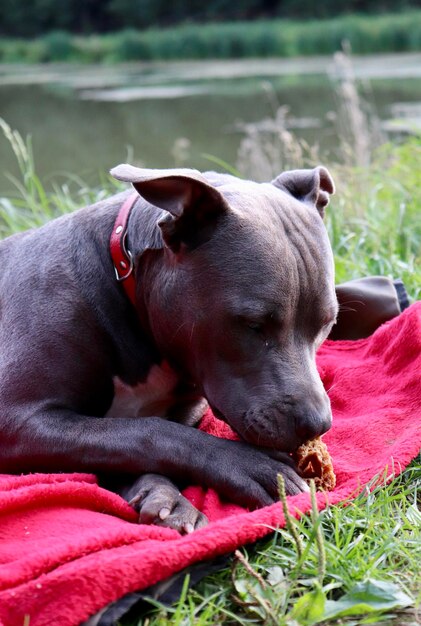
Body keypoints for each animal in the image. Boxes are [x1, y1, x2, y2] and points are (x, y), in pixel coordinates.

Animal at [0, 165, 336, 532]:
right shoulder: (18, 418)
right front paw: (251, 466)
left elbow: (134, 438)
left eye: (327, 323)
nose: (317, 424)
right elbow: (149, 432)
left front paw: (162, 495)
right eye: (253, 324)